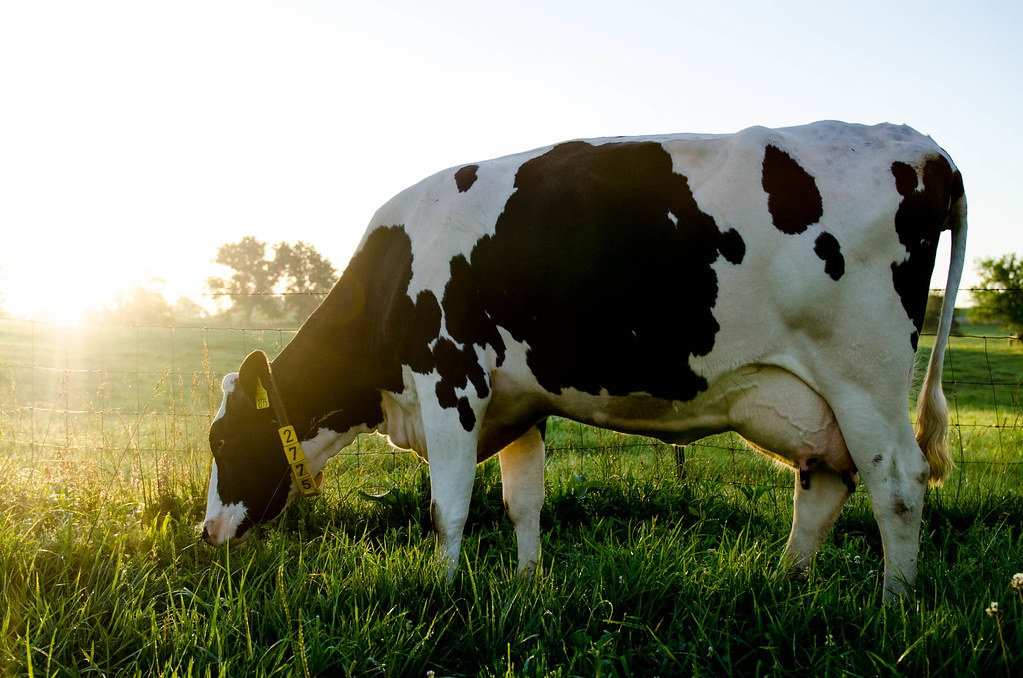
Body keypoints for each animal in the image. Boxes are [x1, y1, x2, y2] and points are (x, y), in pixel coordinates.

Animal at [201, 119, 965, 601]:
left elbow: (447, 507)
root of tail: (919, 146)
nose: (206, 533)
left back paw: (894, 603)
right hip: (816, 399)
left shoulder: (450, 382)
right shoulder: (517, 402)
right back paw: (786, 586)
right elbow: (522, 502)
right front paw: (525, 588)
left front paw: (443, 592)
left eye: (221, 440)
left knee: (897, 481)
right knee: (825, 481)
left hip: (862, 372)